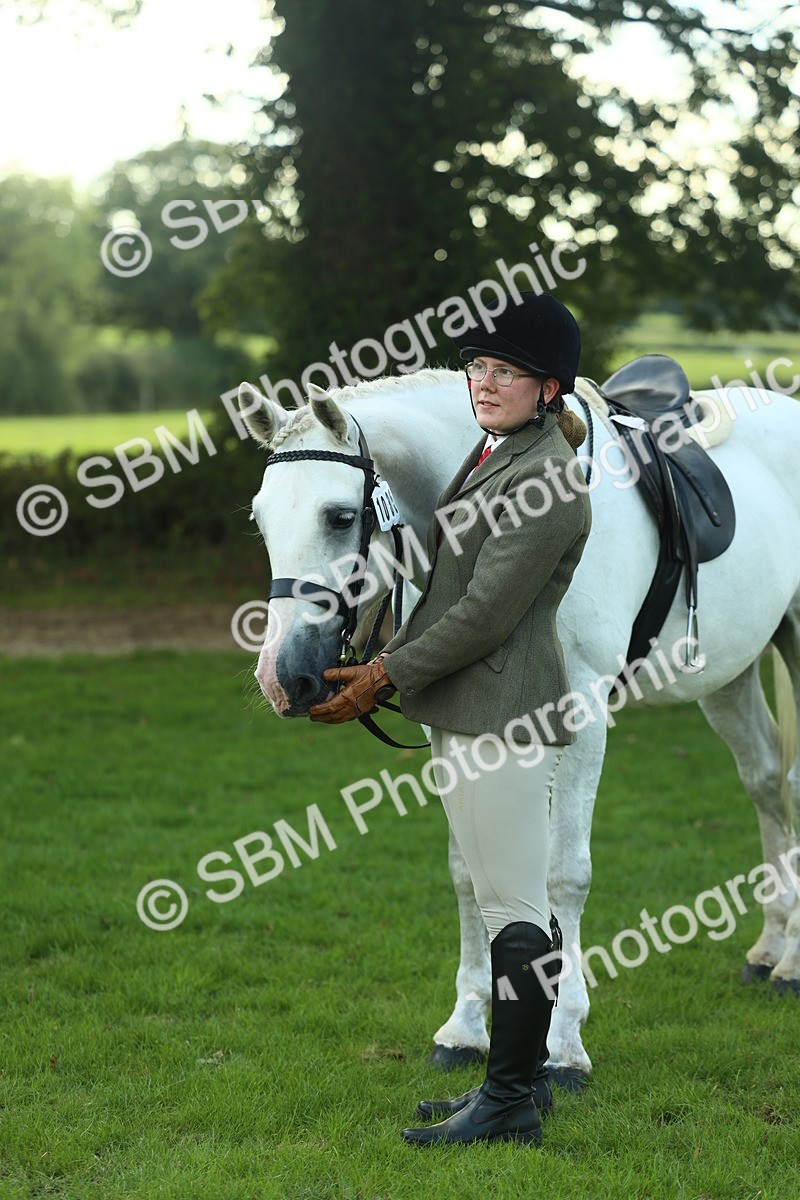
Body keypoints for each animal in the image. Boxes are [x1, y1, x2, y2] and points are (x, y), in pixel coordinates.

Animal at [237, 366, 800, 1088]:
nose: (282, 678)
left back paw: (790, 962)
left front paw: (563, 1046)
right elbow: (471, 874)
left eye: (339, 517)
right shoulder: (457, 722)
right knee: (764, 781)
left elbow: (564, 875)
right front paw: (465, 1027)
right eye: (260, 520)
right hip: (730, 673)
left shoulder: (581, 713)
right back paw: (771, 948)